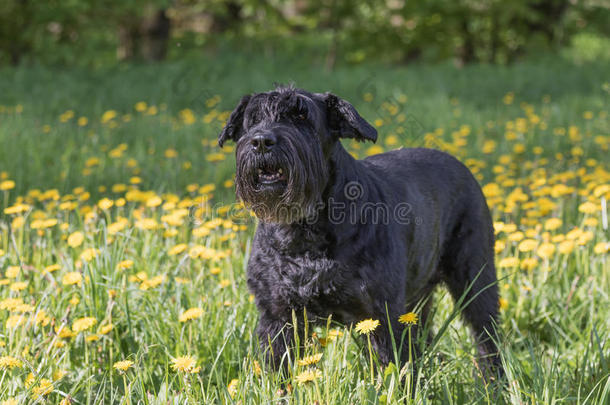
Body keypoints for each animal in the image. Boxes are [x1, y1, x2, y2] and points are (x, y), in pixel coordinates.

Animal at [217, 87, 498, 374]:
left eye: (301, 116)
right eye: (253, 119)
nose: (262, 141)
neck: (303, 230)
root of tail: (461, 166)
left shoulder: (380, 315)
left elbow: (390, 366)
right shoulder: (278, 315)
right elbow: (277, 368)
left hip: (475, 278)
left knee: (486, 332)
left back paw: (492, 377)